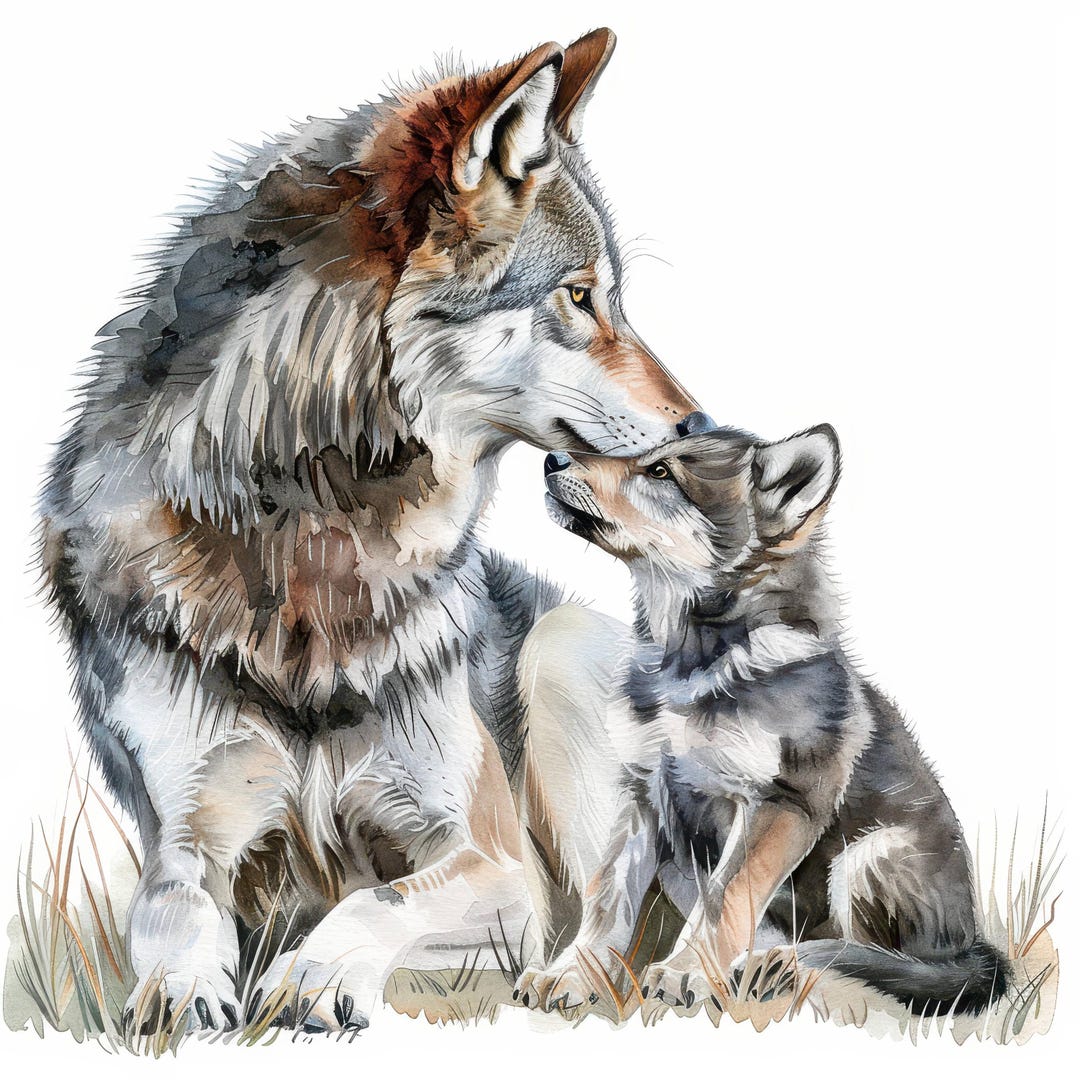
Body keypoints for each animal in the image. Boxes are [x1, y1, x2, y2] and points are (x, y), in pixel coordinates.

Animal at [37, 29, 700, 1032]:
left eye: (608, 297)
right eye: (582, 296)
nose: (699, 426)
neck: (313, 531)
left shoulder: (497, 867)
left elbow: (374, 901)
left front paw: (312, 978)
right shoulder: (186, 840)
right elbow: (170, 913)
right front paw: (180, 994)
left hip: (562, 658)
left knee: (622, 920)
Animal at [514, 426, 1008, 1014]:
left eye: (661, 473)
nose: (549, 458)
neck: (691, 665)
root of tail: (972, 947)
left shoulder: (783, 800)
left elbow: (726, 894)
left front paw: (686, 969)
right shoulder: (642, 792)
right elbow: (608, 895)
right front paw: (574, 972)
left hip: (868, 857)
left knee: (870, 959)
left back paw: (781, 967)